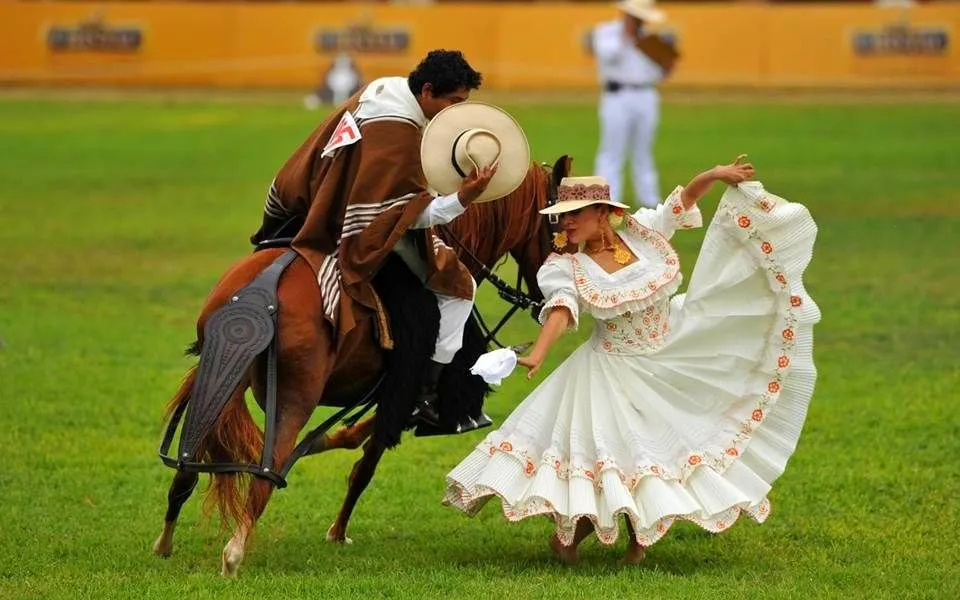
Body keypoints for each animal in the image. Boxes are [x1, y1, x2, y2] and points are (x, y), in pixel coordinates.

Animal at [150, 156, 568, 576]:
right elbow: (366, 464)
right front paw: (338, 530)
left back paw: (165, 542)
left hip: (220, 380)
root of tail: (263, 288)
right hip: (295, 397)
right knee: (268, 472)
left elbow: (353, 443)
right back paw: (233, 554)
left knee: (188, 465)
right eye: (559, 230)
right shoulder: (398, 392)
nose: (549, 303)